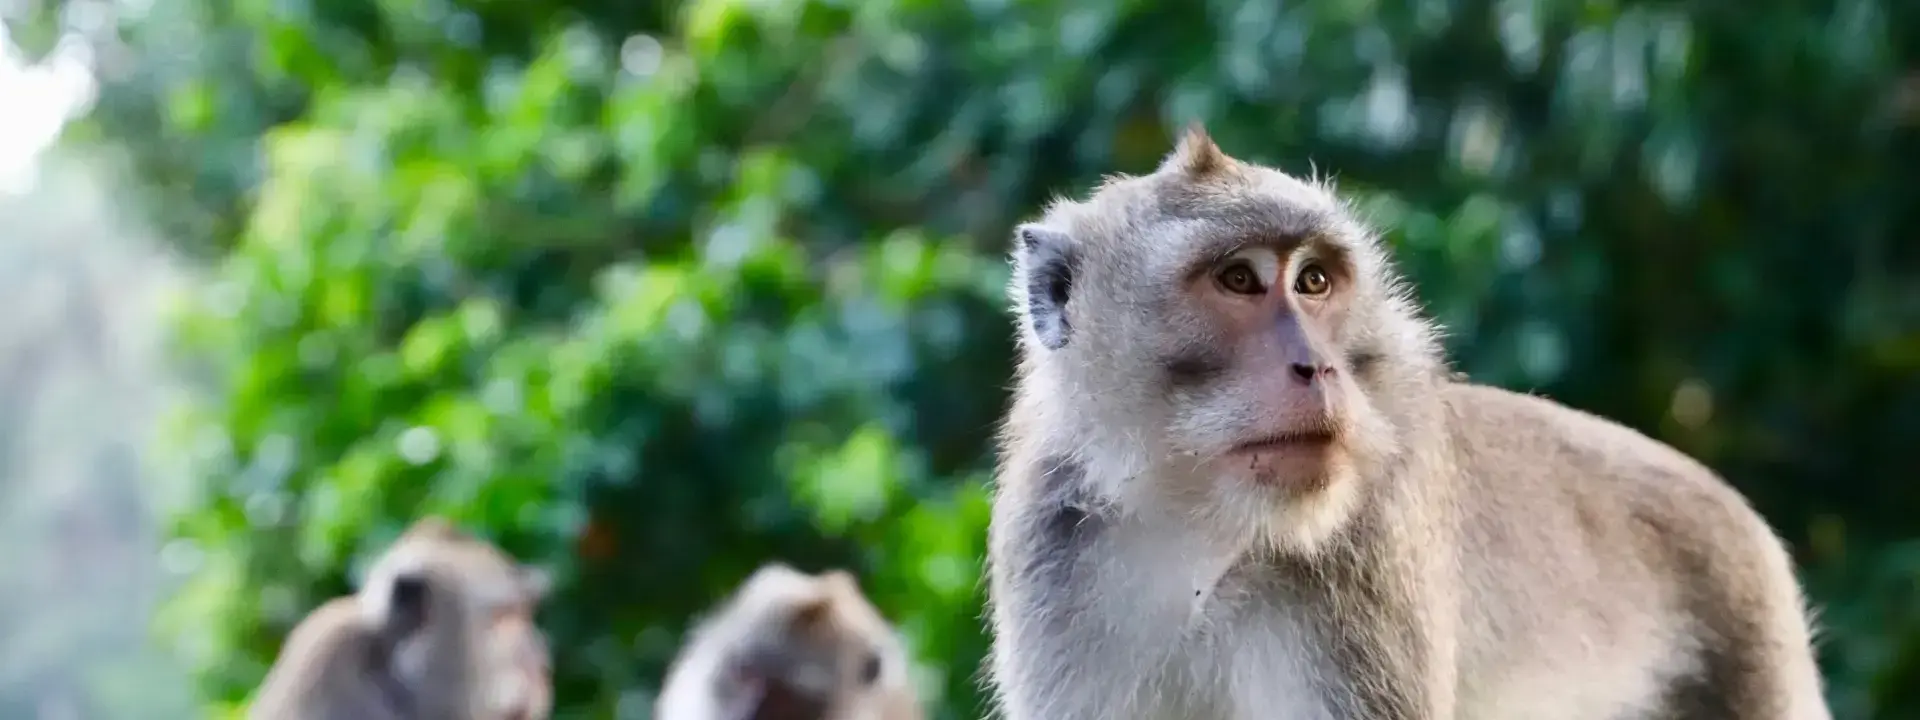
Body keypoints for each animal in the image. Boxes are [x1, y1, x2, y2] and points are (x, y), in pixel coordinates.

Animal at [990, 125, 1827, 720]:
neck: (1205, 532)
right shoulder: (1051, 548)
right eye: (1238, 279)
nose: (1317, 367)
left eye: (1313, 280)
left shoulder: (1368, 545)